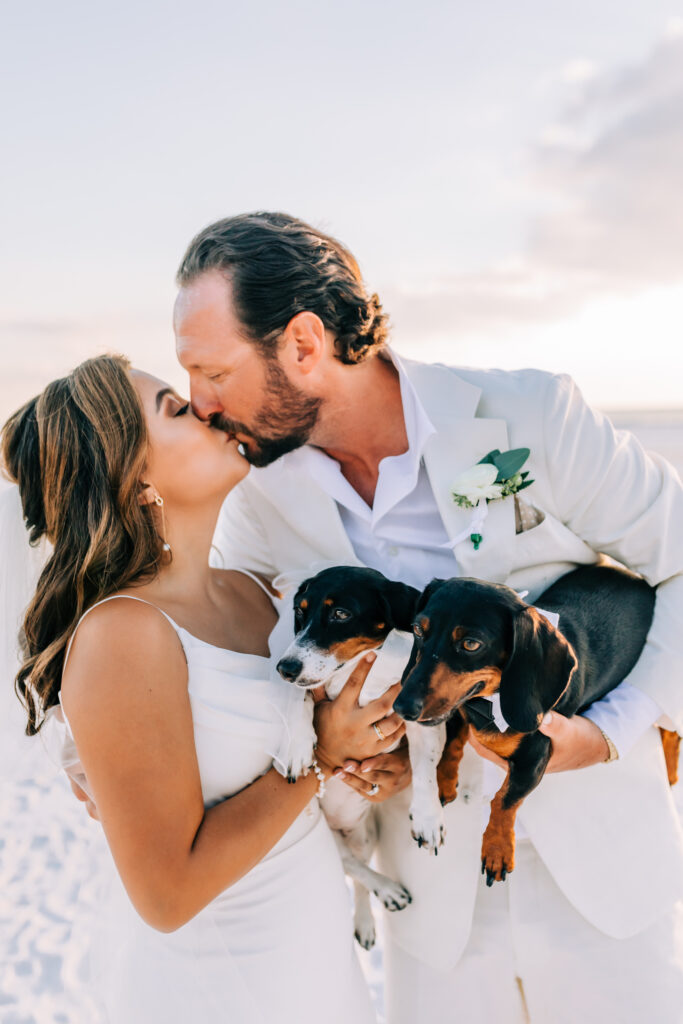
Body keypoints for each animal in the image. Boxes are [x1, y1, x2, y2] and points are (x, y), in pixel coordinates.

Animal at [276, 565, 448, 946]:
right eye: (299, 611)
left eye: (341, 614)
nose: (285, 668)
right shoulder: (312, 689)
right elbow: (301, 697)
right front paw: (297, 745)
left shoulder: (419, 718)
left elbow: (425, 772)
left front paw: (428, 818)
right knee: (350, 867)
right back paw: (387, 892)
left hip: (365, 835)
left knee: (356, 873)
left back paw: (370, 916)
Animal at [393, 565, 679, 884]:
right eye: (418, 630)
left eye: (470, 644)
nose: (402, 707)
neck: (489, 703)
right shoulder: (458, 710)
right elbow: (452, 744)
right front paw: (443, 781)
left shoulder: (535, 758)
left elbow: (504, 800)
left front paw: (497, 850)